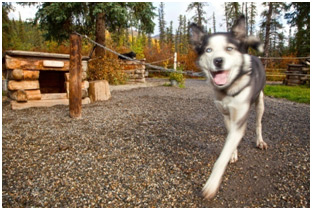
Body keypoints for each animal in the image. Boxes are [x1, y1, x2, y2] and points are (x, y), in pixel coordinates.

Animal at [189, 15, 270, 199]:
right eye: (208, 50)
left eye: (229, 48)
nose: (218, 60)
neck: (228, 89)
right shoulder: (227, 116)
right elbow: (230, 139)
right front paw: (233, 153)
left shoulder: (239, 119)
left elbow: (221, 159)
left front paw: (212, 184)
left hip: (260, 103)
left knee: (258, 124)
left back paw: (260, 141)